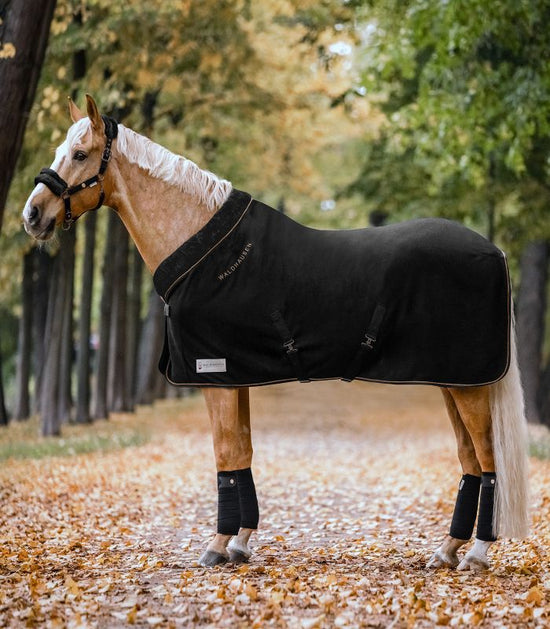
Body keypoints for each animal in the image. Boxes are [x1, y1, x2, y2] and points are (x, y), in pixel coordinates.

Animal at [22, 95, 532, 572]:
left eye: (81, 153)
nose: (32, 215)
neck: (203, 249)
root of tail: (495, 251)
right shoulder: (235, 377)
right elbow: (243, 453)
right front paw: (241, 543)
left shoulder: (215, 377)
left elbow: (226, 456)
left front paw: (216, 546)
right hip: (455, 382)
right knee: (470, 461)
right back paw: (447, 551)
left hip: (468, 386)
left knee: (489, 462)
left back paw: (477, 553)